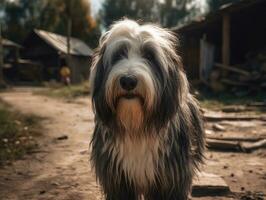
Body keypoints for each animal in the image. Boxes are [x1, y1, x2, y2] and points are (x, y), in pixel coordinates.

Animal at [90, 19, 205, 200]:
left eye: (149, 56)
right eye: (118, 55)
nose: (128, 81)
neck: (136, 128)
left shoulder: (171, 181)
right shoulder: (118, 181)